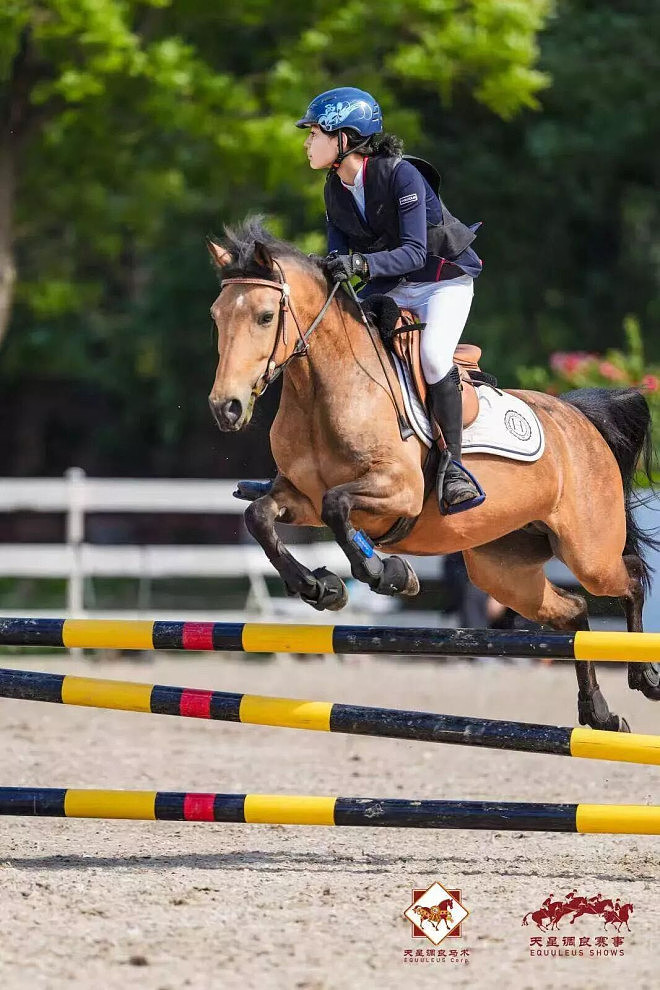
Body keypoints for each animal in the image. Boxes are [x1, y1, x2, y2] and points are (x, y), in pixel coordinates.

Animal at [207, 217, 660, 733]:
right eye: (217, 317)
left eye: (265, 317)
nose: (226, 408)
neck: (326, 390)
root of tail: (578, 417)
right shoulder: (298, 497)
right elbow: (262, 517)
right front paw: (322, 588)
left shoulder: (398, 492)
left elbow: (338, 506)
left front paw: (389, 575)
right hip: (503, 570)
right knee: (574, 612)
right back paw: (599, 713)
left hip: (588, 552)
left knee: (630, 576)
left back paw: (645, 677)